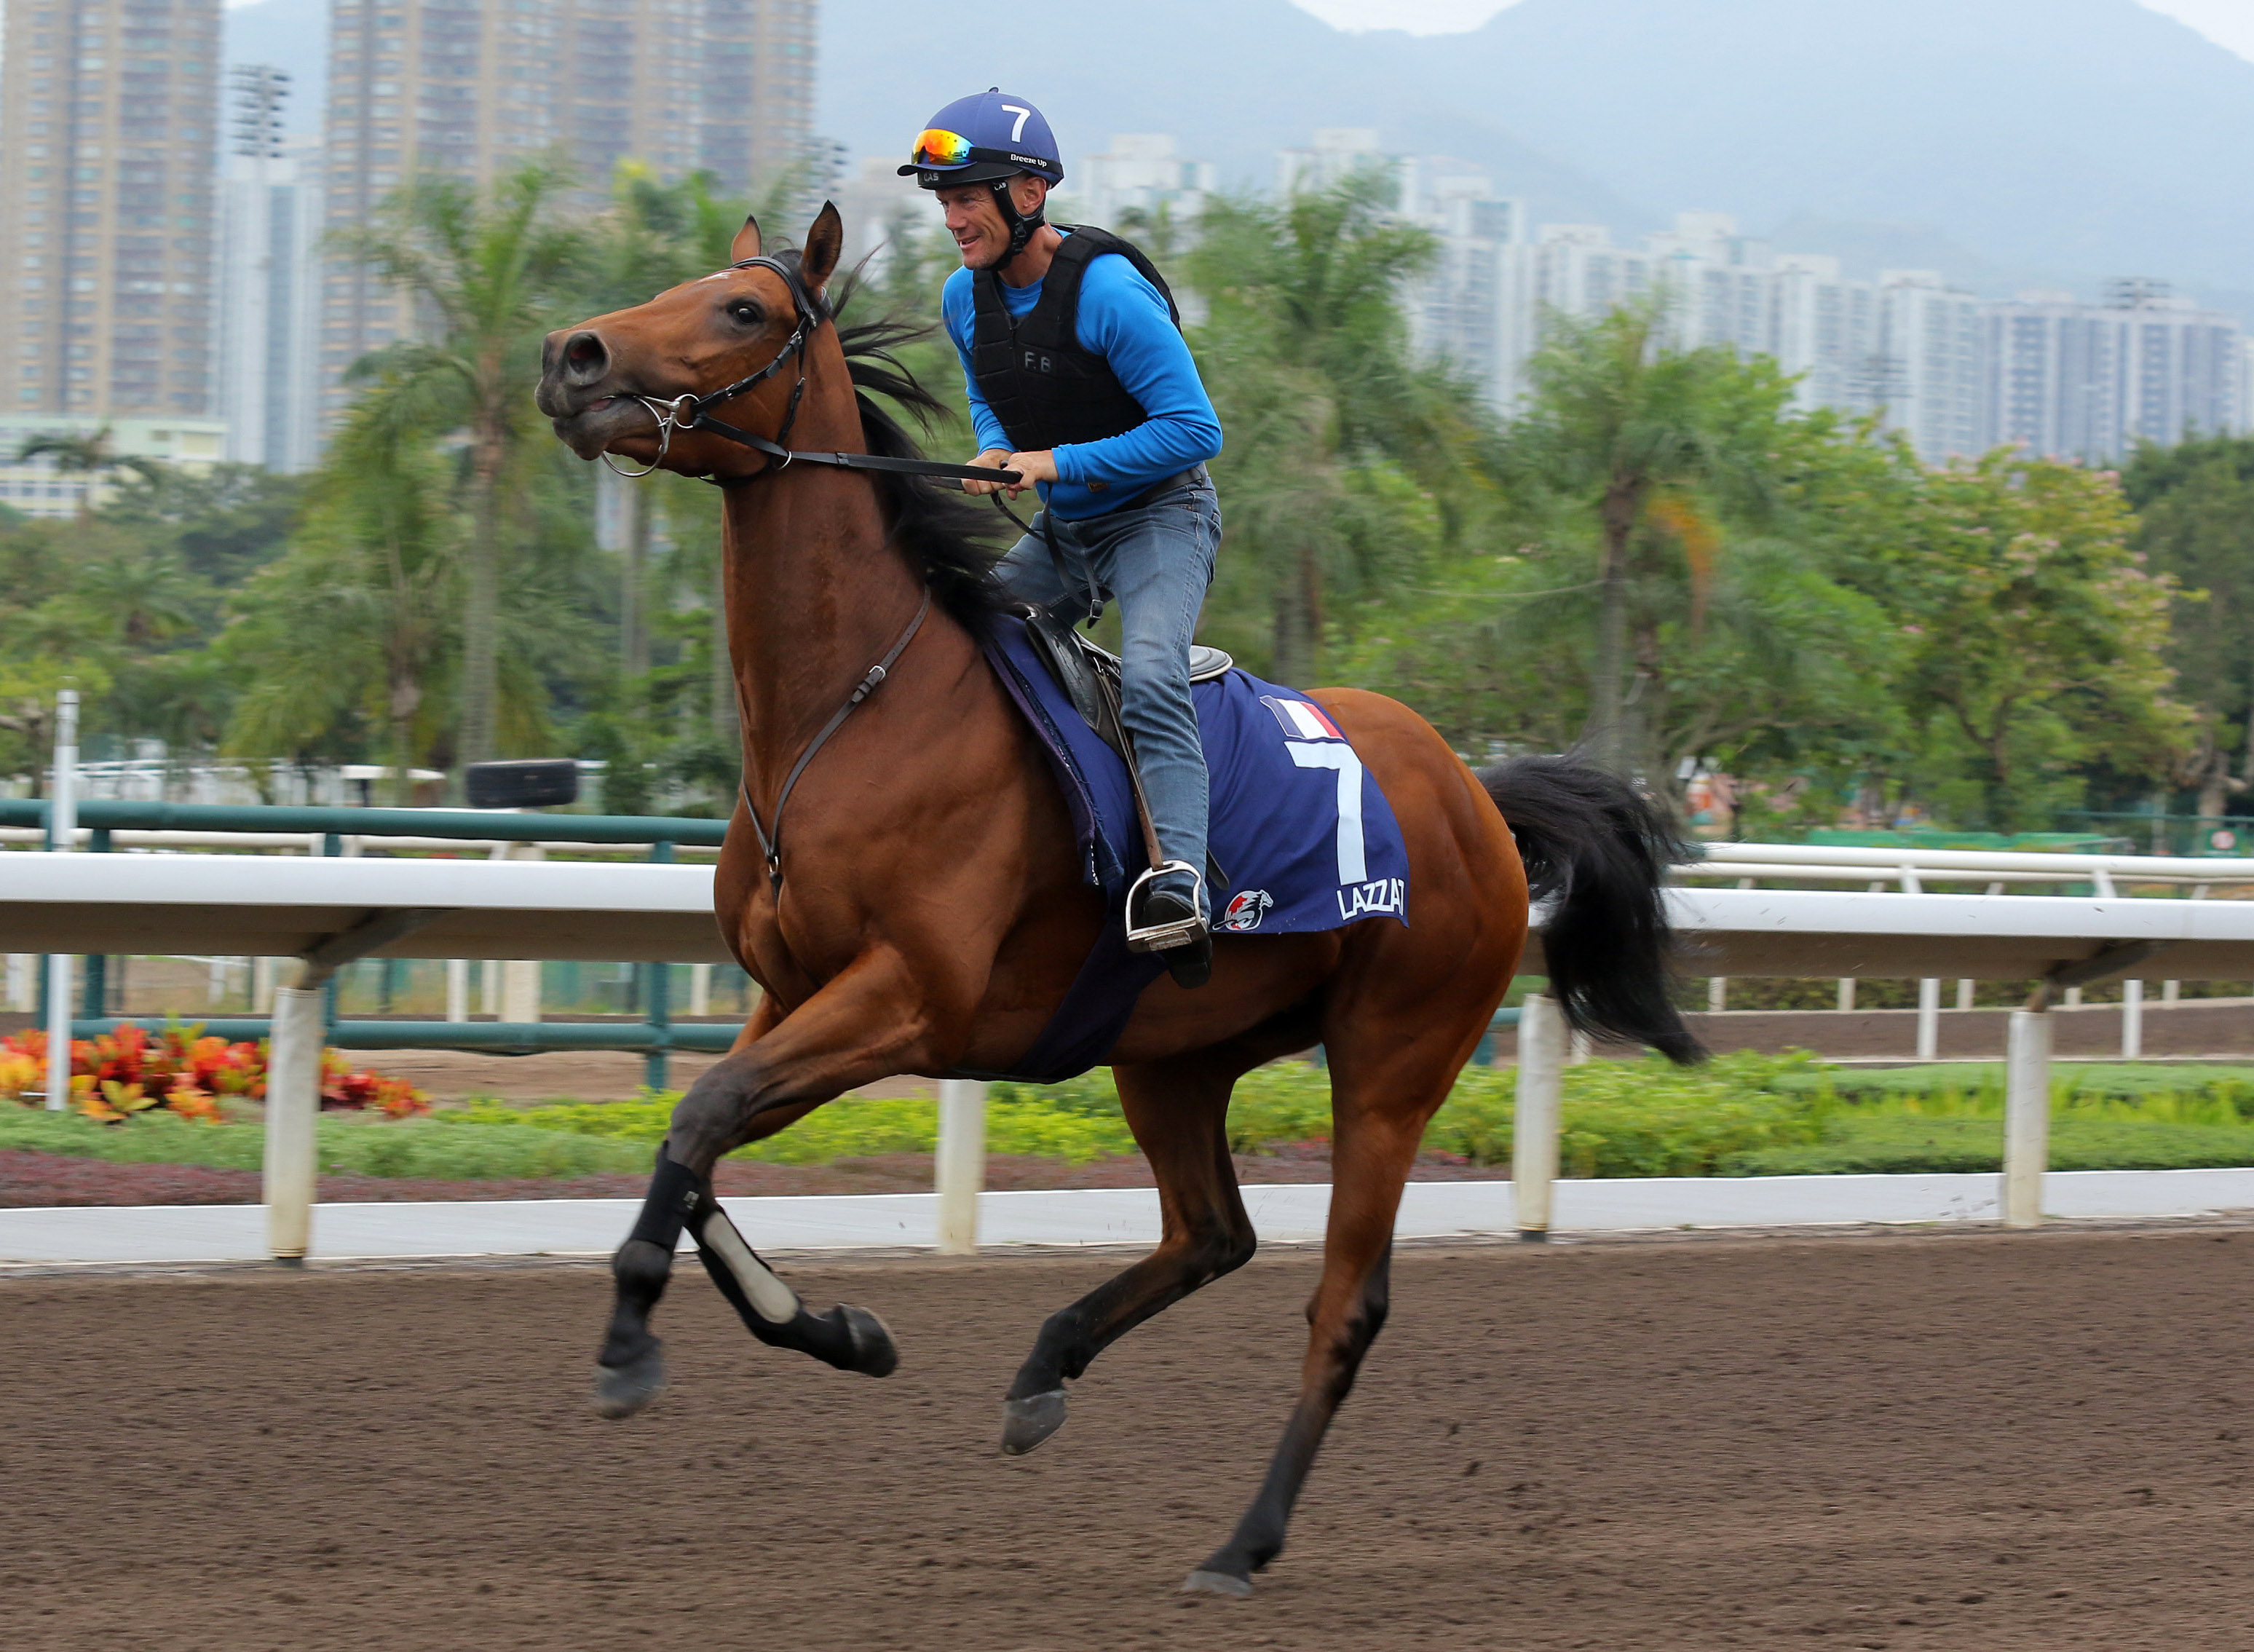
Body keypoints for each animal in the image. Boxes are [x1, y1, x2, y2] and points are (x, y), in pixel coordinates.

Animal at [531, 199, 1695, 1595]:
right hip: (1173, 1050)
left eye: (744, 308)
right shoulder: (791, 992)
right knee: (1213, 1232)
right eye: (680, 282)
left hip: (1392, 1060)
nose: (572, 356)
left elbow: (701, 1119)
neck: (854, 711)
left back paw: (1242, 1542)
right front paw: (841, 1326)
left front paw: (627, 1344)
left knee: (1341, 1301)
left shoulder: (908, 998)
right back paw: (1045, 1368)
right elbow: (695, 1145)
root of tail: (1474, 789)